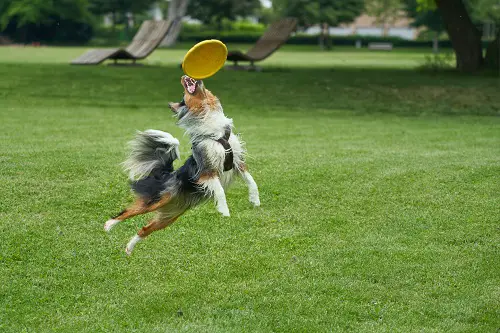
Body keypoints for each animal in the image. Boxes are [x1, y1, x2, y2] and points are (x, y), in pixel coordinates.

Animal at [105, 75, 262, 254]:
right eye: (183, 95)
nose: (187, 76)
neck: (216, 132)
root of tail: (167, 174)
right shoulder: (207, 171)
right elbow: (220, 191)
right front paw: (224, 211)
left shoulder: (238, 162)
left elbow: (252, 182)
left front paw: (255, 200)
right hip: (158, 199)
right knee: (128, 211)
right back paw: (108, 225)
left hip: (169, 216)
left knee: (144, 229)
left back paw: (129, 248)